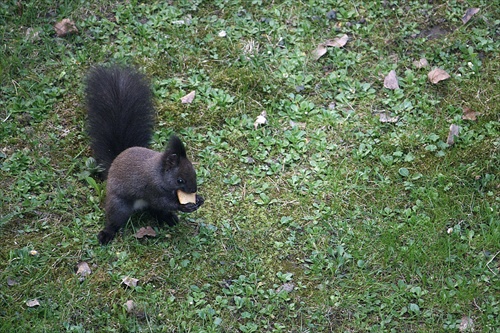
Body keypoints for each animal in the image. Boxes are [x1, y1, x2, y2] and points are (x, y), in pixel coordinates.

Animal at [86, 64, 205, 244]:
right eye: (180, 180)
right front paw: (185, 205)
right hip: (119, 205)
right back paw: (107, 234)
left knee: (158, 211)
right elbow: (164, 201)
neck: (159, 173)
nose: (193, 190)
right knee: (115, 220)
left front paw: (199, 199)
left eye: (195, 173)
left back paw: (169, 218)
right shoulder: (152, 187)